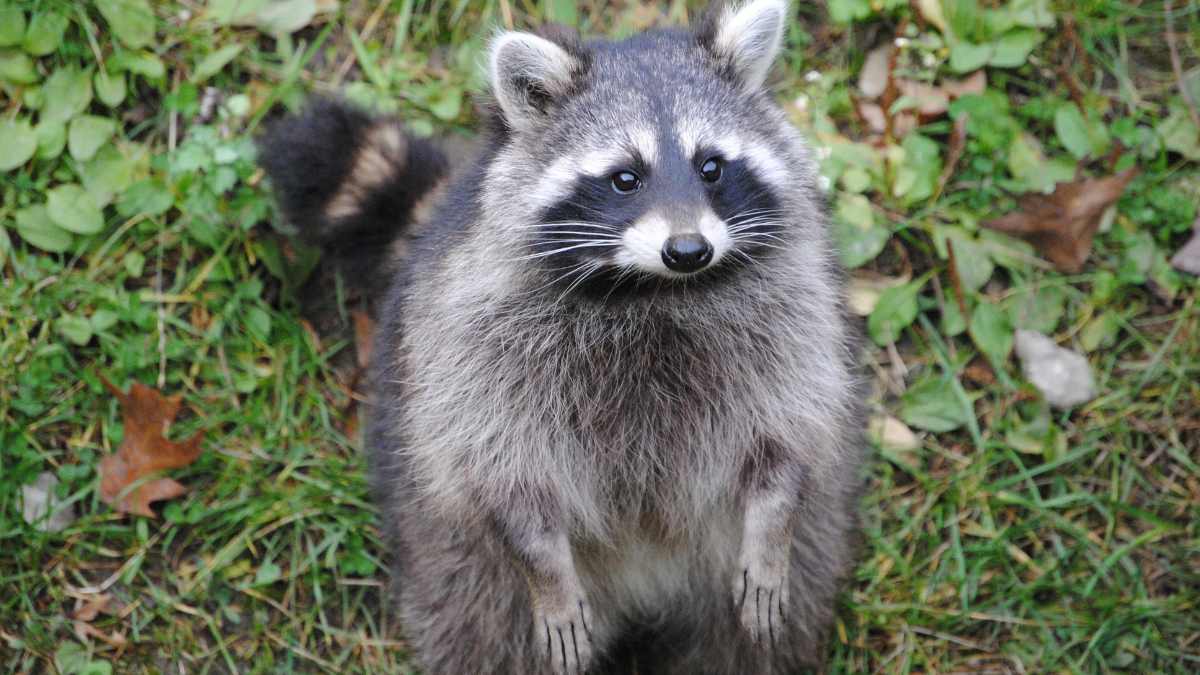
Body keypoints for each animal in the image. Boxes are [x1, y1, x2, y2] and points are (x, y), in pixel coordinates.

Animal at [260, 1, 866, 672]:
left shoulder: (792, 309)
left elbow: (788, 429)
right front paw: (543, 563)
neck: (651, 290)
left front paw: (772, 521)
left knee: (749, 636)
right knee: (484, 629)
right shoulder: (473, 339)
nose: (688, 250)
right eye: (626, 178)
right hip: (454, 555)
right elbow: (504, 468)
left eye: (711, 166)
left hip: (787, 551)